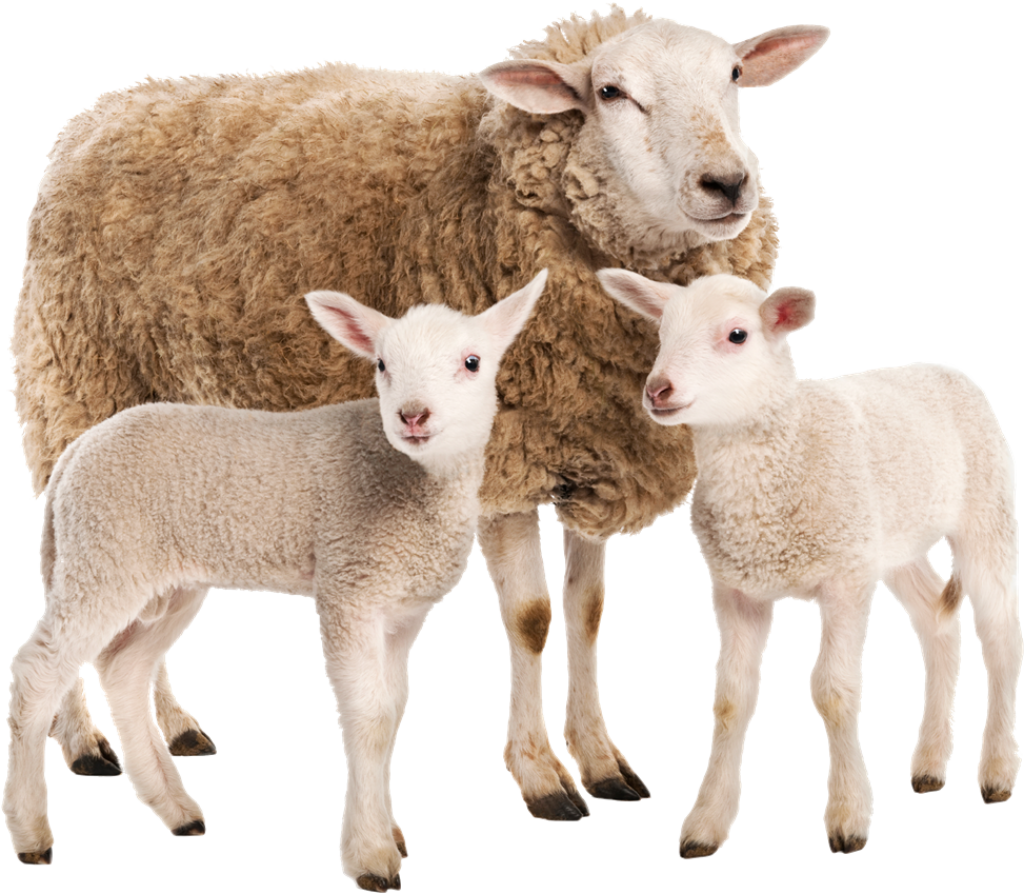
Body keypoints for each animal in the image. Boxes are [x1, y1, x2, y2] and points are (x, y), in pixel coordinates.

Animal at [2, 270, 546, 887]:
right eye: (382, 364)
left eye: (472, 362)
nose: (412, 415)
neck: (412, 482)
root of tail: (75, 453)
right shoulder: (349, 582)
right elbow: (367, 715)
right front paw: (370, 855)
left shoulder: (402, 609)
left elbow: (392, 713)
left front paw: (387, 833)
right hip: (103, 554)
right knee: (38, 670)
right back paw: (31, 832)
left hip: (162, 577)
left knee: (123, 668)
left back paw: (176, 808)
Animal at [9, 5, 831, 820]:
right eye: (610, 91)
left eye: (734, 77)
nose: (728, 182)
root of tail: (100, 111)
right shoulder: (504, 461)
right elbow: (531, 618)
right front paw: (542, 774)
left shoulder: (587, 446)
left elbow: (589, 607)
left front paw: (600, 759)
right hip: (75, 398)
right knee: (65, 593)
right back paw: (81, 742)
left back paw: (173, 729)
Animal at [597, 268, 1021, 855]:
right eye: (662, 333)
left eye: (737, 335)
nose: (658, 390)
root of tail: (945, 367)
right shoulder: (737, 587)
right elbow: (730, 700)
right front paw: (706, 822)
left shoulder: (845, 579)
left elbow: (834, 692)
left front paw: (848, 816)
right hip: (892, 542)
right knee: (937, 625)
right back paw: (931, 764)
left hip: (985, 514)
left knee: (1002, 639)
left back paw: (998, 771)